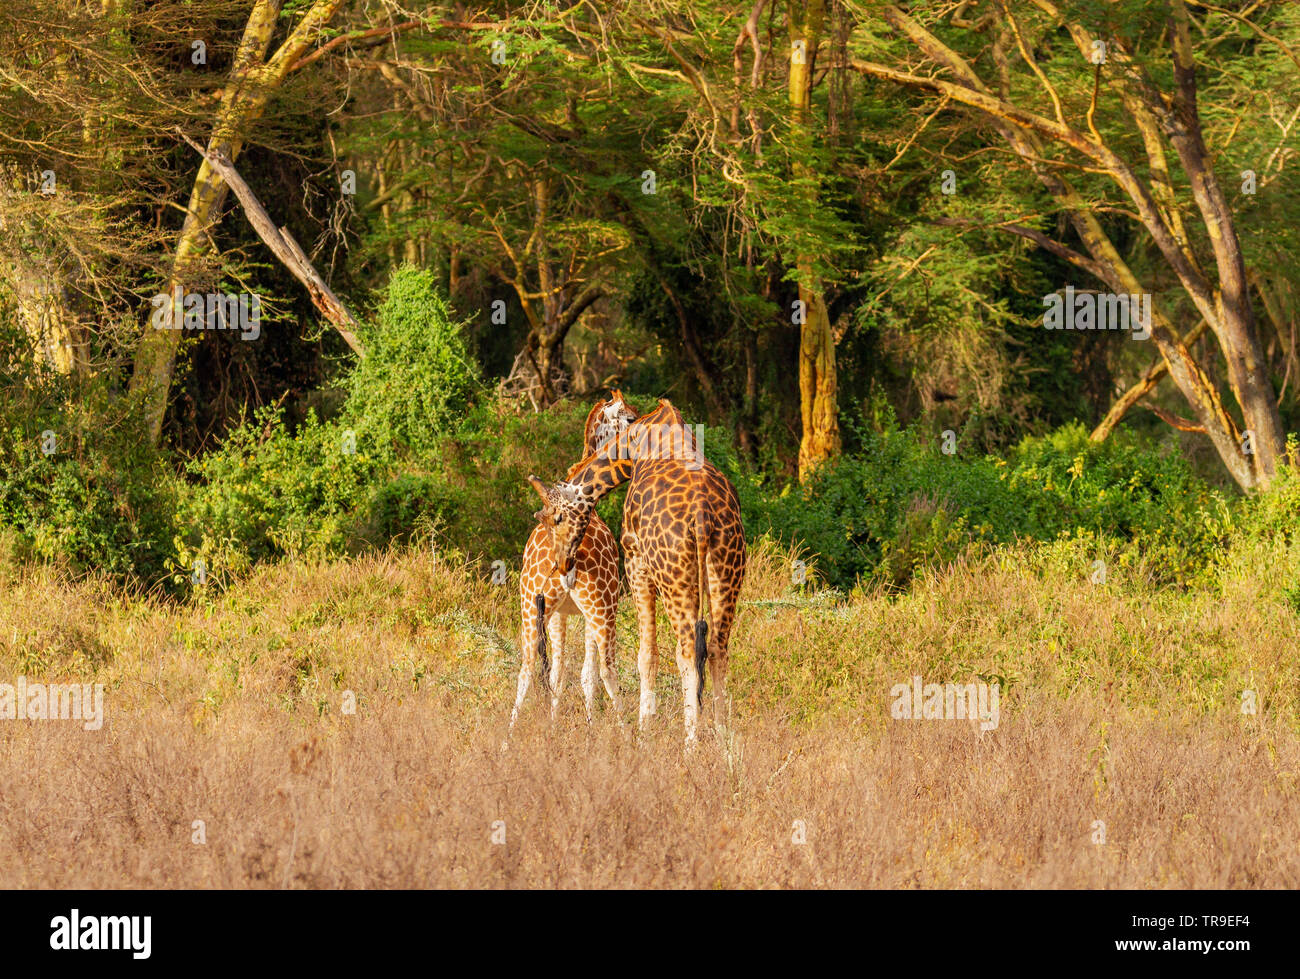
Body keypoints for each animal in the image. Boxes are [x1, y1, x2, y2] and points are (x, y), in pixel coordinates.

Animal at [506, 400, 629, 728]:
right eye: (630, 417)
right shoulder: (587, 611)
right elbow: (587, 674)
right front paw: (589, 727)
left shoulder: (559, 612)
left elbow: (558, 675)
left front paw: (553, 726)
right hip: (604, 608)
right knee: (608, 670)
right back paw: (630, 734)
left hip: (529, 606)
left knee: (526, 668)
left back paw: (508, 737)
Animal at [525, 392, 748, 743]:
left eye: (555, 518)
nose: (561, 563)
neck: (636, 443)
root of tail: (703, 515)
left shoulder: (635, 559)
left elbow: (646, 655)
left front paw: (644, 730)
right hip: (726, 569)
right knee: (717, 650)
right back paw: (724, 743)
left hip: (673, 578)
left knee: (686, 653)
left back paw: (690, 744)